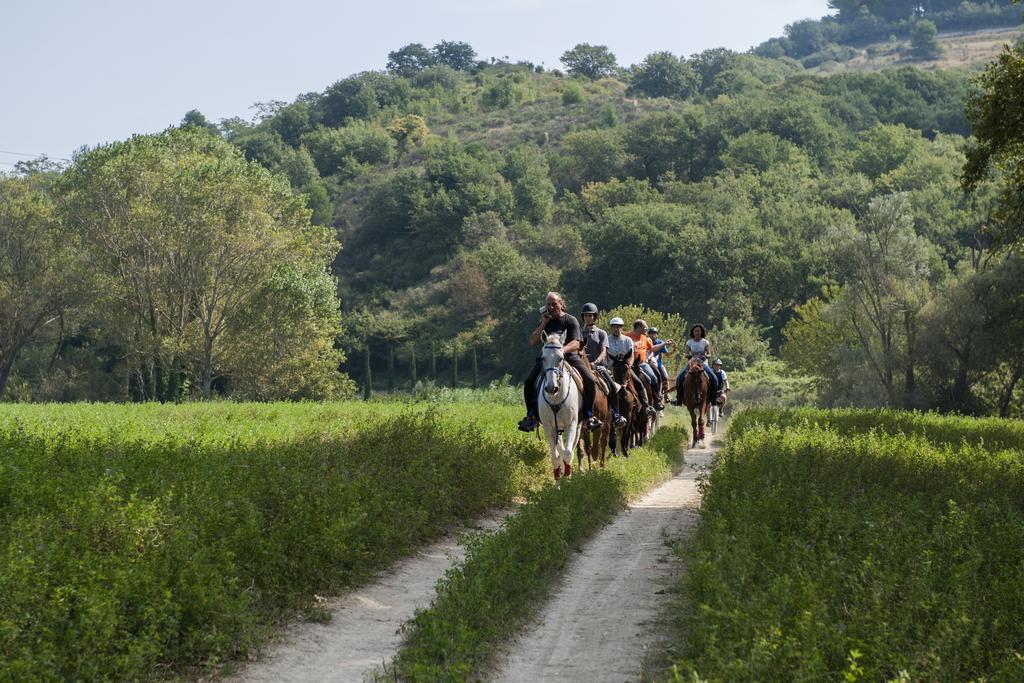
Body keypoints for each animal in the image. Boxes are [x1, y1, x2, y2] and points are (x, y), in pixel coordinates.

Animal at [536, 333, 585, 483]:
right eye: (543, 358)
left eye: (561, 358)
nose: (551, 388)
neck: (556, 398)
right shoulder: (548, 427)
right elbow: (555, 457)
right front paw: (558, 481)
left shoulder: (572, 424)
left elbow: (568, 453)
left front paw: (568, 479)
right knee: (560, 450)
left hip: (578, 426)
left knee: (571, 448)